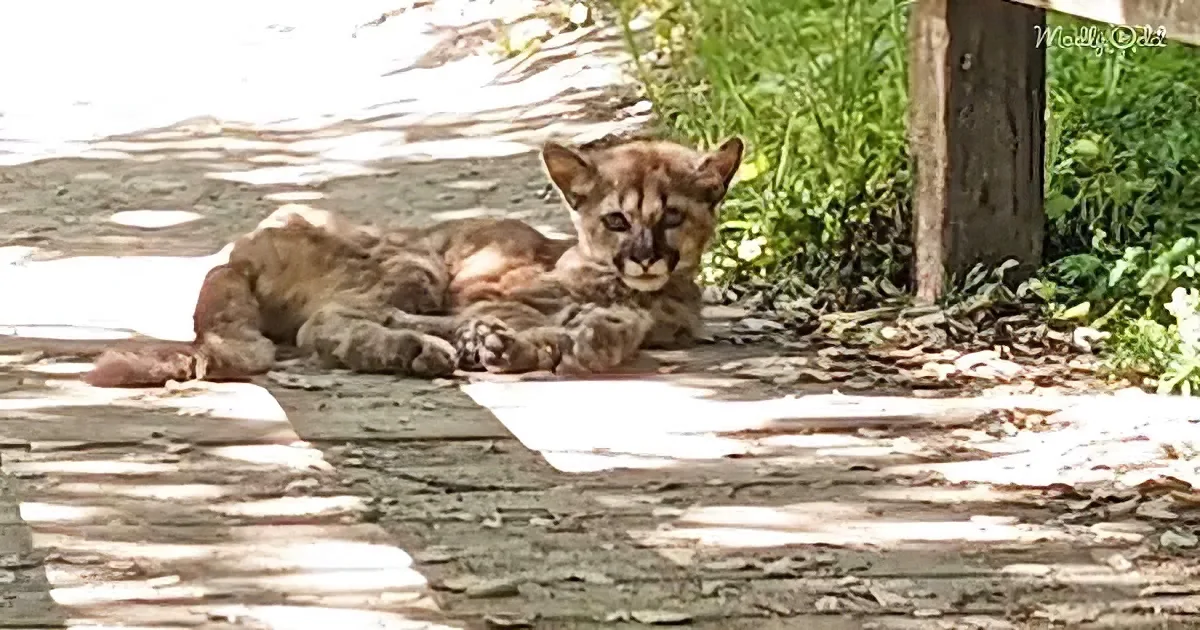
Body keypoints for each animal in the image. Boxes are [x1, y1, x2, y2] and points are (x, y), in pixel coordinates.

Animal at [82, 136, 744, 387]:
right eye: (617, 221)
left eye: (672, 218)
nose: (646, 258)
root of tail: (239, 249)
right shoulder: (489, 288)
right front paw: (547, 341)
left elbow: (610, 325)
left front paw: (565, 342)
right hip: (414, 258)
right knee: (323, 326)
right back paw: (425, 349)